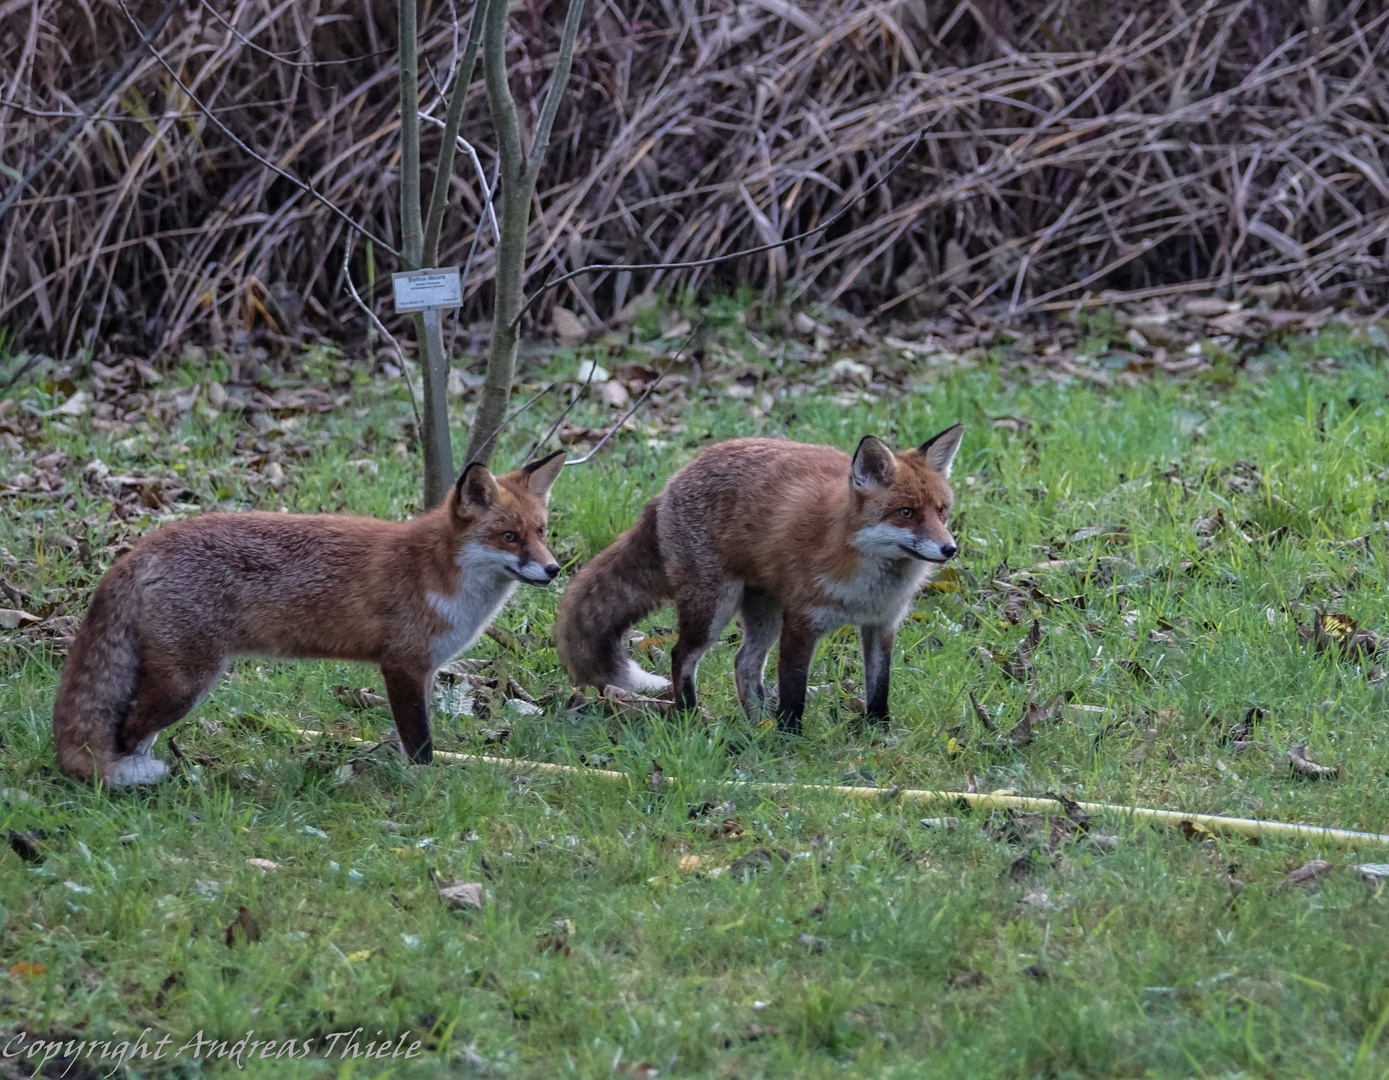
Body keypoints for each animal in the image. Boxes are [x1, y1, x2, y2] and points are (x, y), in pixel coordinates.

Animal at [54, 449, 563, 788]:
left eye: (541, 532)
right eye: (509, 536)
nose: (555, 569)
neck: (438, 574)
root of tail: (138, 549)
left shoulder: (425, 671)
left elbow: (413, 738)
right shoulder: (402, 665)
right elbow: (420, 745)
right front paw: (426, 789)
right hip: (186, 682)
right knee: (127, 730)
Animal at [552, 424, 966, 738]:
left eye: (942, 511)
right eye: (907, 513)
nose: (950, 549)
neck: (865, 584)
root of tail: (670, 484)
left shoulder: (882, 624)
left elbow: (879, 687)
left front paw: (879, 733)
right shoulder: (802, 621)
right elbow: (794, 691)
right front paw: (789, 739)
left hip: (764, 614)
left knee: (744, 663)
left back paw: (756, 722)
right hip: (713, 610)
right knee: (681, 656)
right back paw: (691, 716)